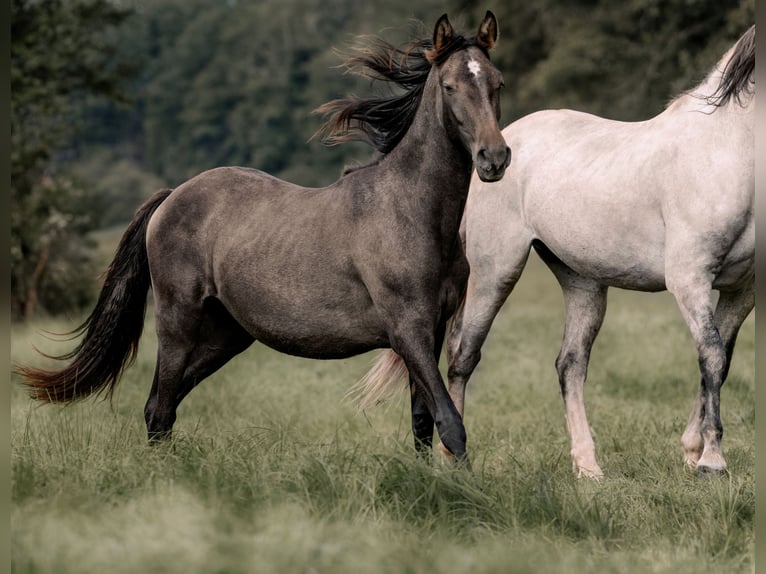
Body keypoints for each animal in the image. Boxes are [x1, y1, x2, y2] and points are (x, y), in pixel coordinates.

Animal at [16, 11, 510, 466]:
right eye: (449, 86)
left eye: (497, 84)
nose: (495, 158)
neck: (412, 213)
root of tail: (171, 196)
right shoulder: (407, 329)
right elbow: (451, 422)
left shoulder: (429, 331)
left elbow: (424, 422)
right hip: (177, 321)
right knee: (160, 407)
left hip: (226, 334)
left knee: (164, 404)